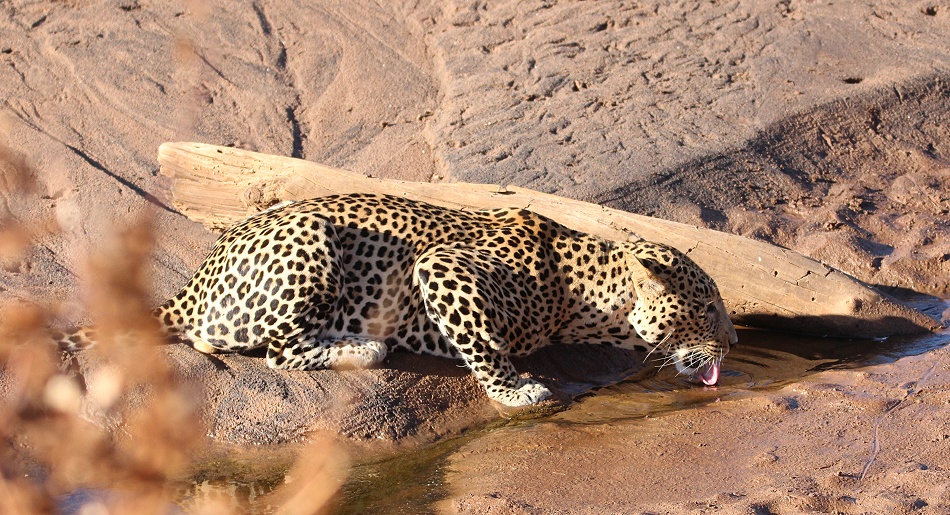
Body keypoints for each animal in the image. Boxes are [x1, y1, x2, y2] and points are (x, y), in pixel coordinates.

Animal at [61, 193, 737, 407]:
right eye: (706, 306)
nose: (733, 343)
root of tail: (193, 280)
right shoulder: (441, 268)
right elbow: (482, 342)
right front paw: (514, 389)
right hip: (309, 241)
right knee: (270, 348)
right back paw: (362, 347)